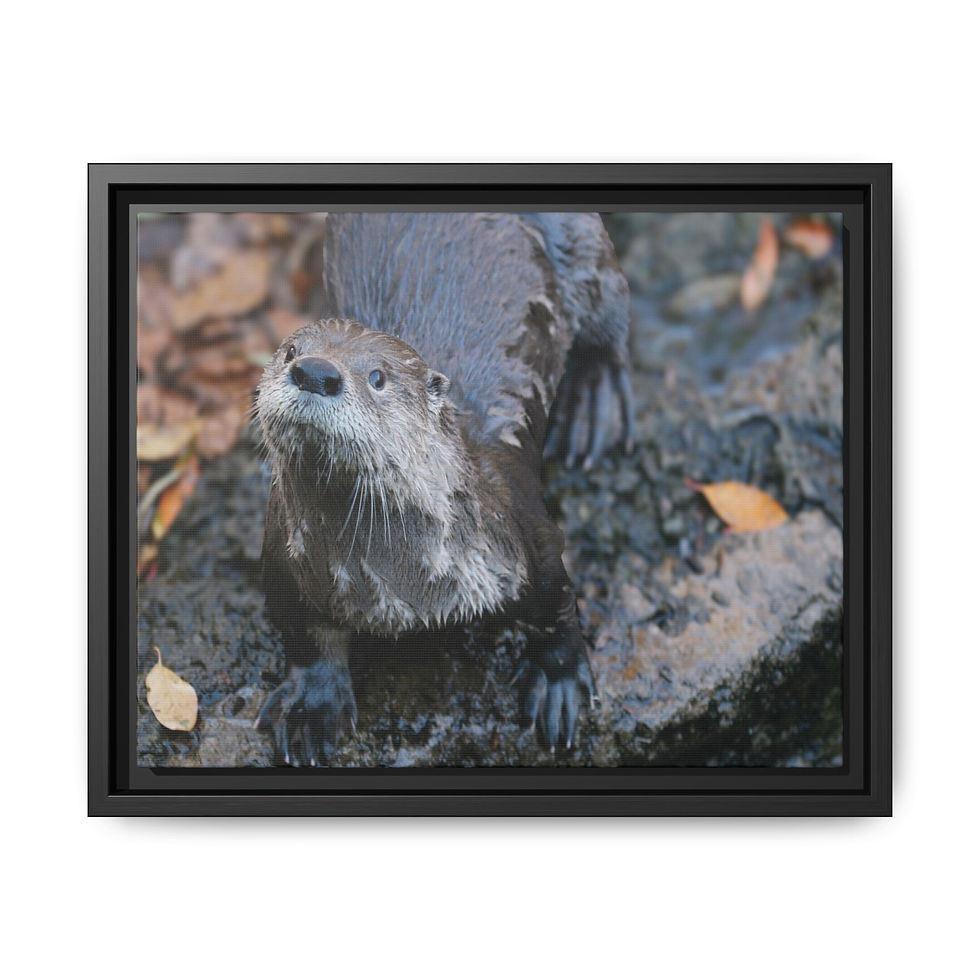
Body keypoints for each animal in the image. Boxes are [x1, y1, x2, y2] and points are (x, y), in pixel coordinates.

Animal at [255, 212, 633, 765]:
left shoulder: (523, 530)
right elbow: (302, 634)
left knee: (611, 307)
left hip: (581, 244)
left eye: (378, 377)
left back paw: (594, 397)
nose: (315, 371)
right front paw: (311, 705)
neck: (404, 583)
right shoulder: (283, 556)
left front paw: (558, 685)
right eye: (289, 351)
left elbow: (557, 603)